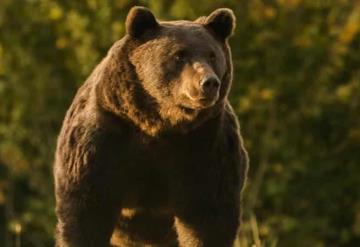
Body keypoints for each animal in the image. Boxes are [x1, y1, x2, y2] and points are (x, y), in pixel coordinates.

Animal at [53, 5, 249, 247]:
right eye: (179, 55)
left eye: (212, 55)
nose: (209, 82)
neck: (159, 123)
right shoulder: (104, 138)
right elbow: (86, 211)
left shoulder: (205, 144)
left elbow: (209, 215)